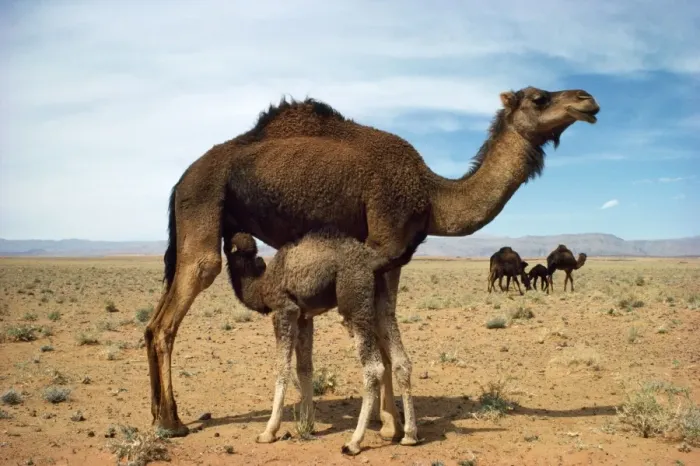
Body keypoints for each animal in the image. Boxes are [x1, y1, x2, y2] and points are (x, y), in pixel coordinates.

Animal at [225, 231, 416, 455]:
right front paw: (307, 424)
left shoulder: (284, 309)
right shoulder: (303, 316)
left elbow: (282, 368)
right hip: (381, 301)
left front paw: (268, 432)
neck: (261, 285)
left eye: (228, 247)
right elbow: (304, 368)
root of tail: (374, 261)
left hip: (354, 302)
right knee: (401, 362)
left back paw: (354, 442)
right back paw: (409, 436)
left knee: (374, 367)